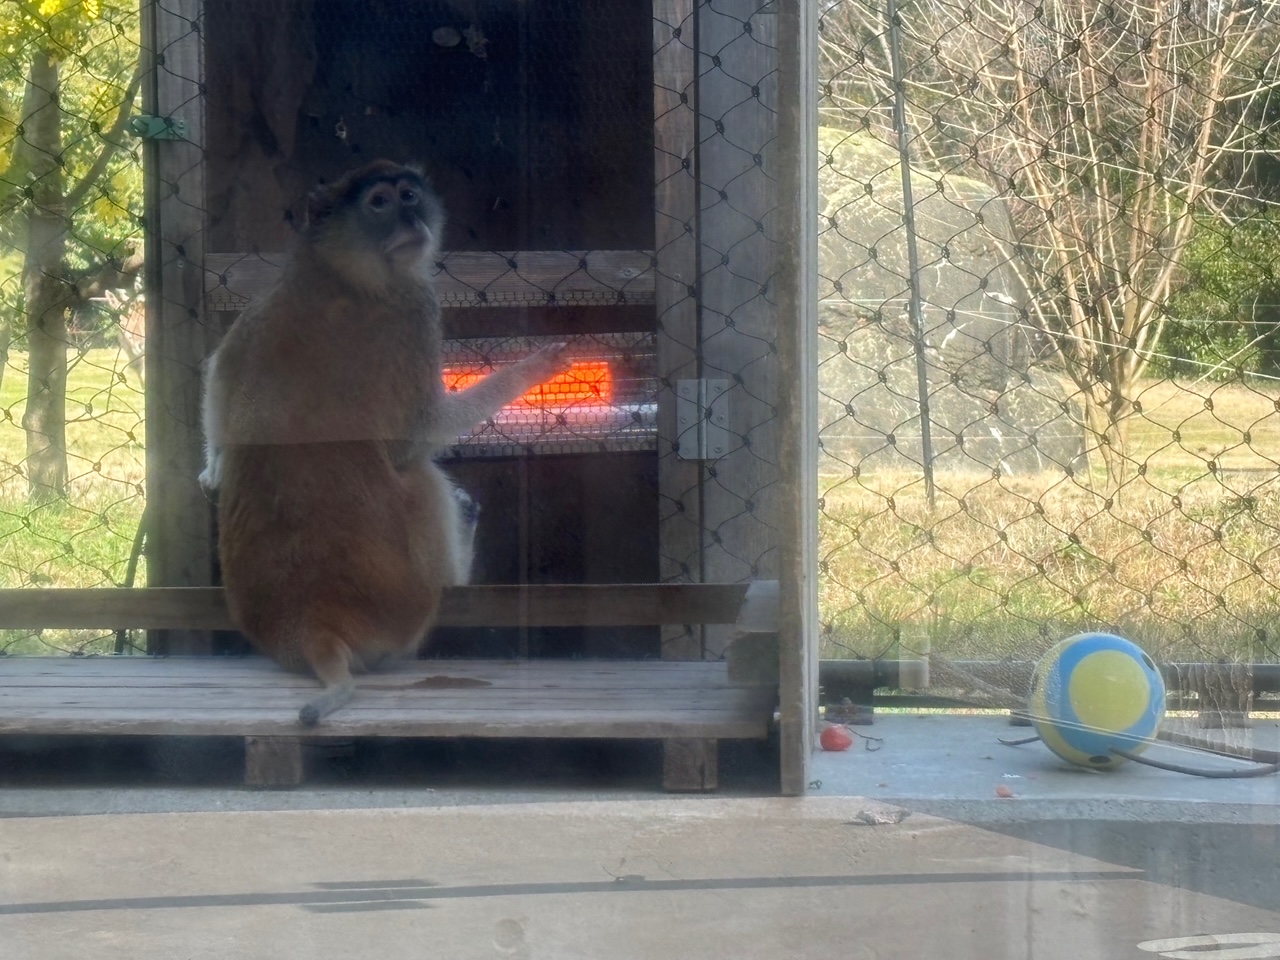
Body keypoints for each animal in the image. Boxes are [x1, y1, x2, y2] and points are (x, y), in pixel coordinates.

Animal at [200, 160, 570, 727]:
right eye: (379, 201)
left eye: (409, 195)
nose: (411, 217)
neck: (337, 266)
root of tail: (310, 626)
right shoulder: (415, 308)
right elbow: (418, 436)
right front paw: (536, 370)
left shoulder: (264, 304)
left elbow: (221, 374)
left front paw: (214, 467)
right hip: (404, 608)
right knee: (420, 477)